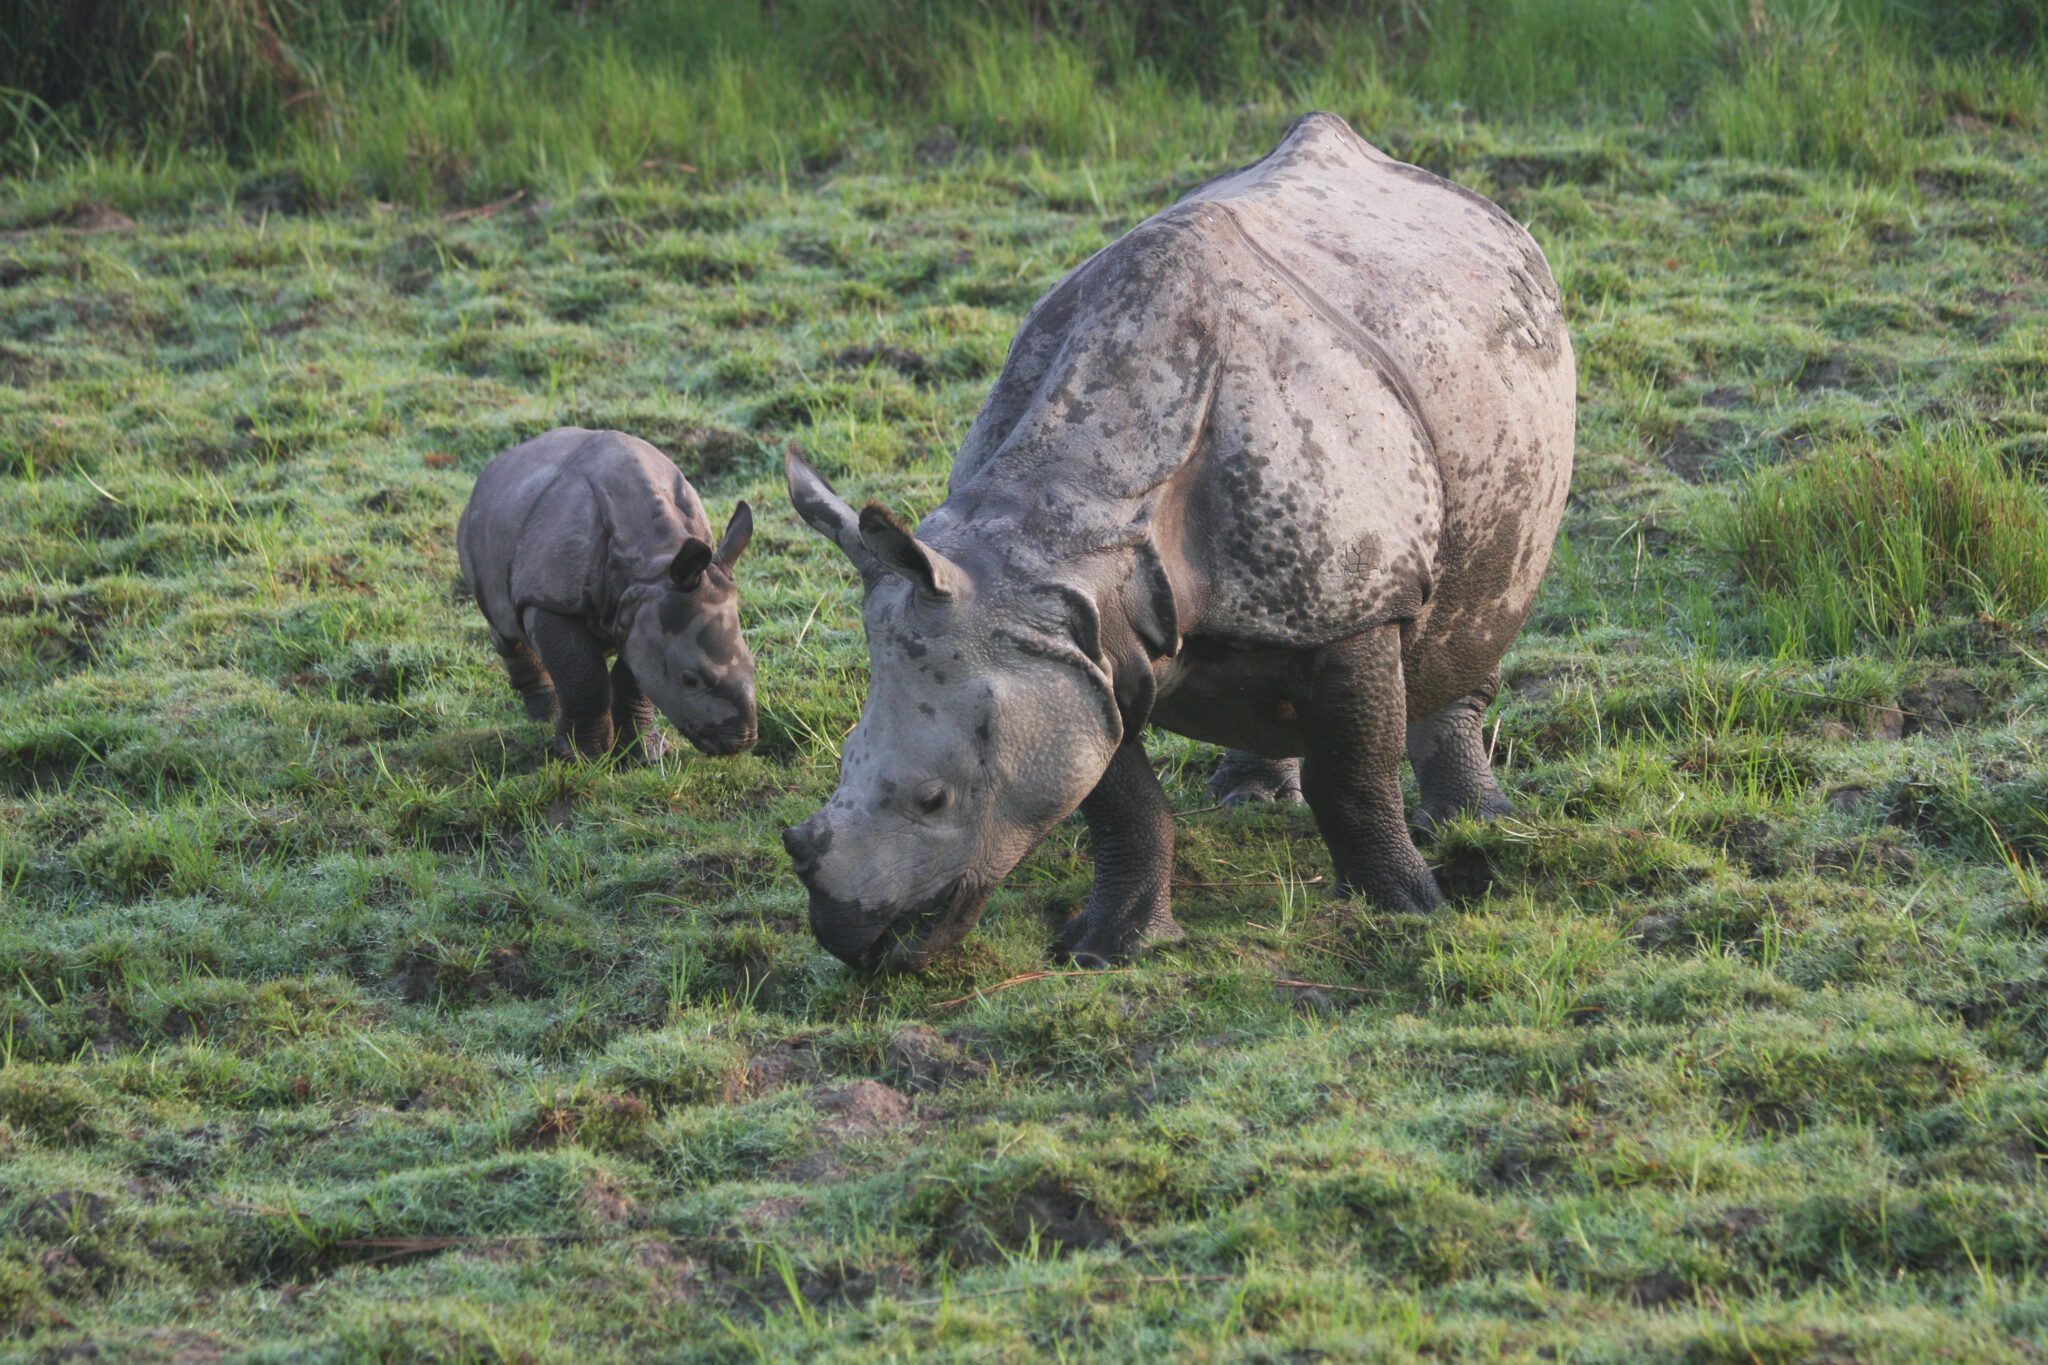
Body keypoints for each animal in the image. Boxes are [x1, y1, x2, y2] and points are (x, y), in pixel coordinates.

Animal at [456, 427, 761, 765]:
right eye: (690, 679)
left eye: (754, 666)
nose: (740, 742)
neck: (654, 561)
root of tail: (499, 463)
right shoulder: (553, 600)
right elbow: (585, 677)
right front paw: (582, 756)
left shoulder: (643, 610)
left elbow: (635, 680)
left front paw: (645, 755)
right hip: (480, 529)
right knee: (506, 630)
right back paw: (544, 717)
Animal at [778, 117, 1564, 970]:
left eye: (934, 798)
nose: (850, 937)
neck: (1063, 526)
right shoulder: (1073, 647)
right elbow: (1121, 804)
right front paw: (1108, 950)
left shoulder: (1358, 604)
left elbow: (1353, 778)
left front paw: (1405, 911)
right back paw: (1248, 800)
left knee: (1474, 623)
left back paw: (1473, 825)